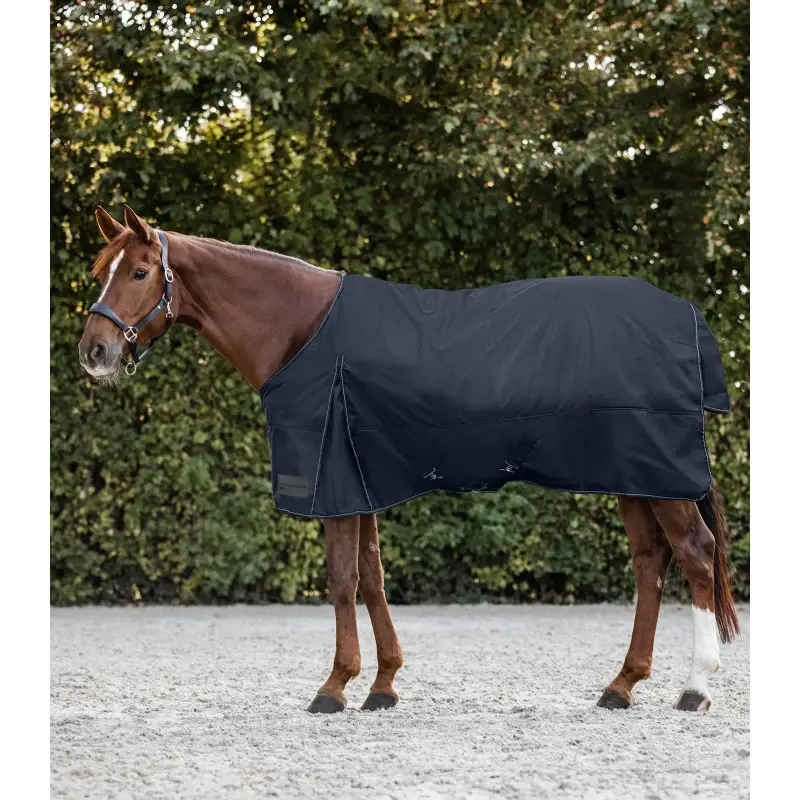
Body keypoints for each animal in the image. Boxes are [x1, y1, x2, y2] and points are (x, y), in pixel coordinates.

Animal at [78, 205, 739, 714]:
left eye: (140, 271)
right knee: (651, 563)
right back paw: (622, 685)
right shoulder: (358, 478)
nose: (95, 352)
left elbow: (342, 580)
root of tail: (685, 315)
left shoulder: (334, 482)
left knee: (695, 555)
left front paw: (334, 687)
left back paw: (694, 690)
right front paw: (384, 684)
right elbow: (372, 578)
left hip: (662, 478)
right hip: (635, 476)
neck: (300, 328)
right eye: (98, 271)